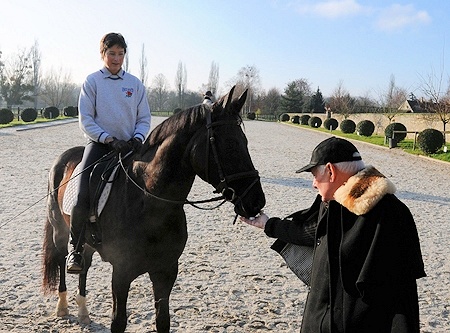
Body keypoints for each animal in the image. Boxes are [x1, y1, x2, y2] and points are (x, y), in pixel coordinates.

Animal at [41, 86, 268, 332]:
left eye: (244, 142)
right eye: (229, 144)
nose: (256, 201)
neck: (149, 203)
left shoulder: (166, 271)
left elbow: (163, 320)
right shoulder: (121, 272)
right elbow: (118, 321)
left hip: (87, 242)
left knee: (84, 265)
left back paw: (83, 311)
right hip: (60, 231)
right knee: (63, 259)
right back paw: (63, 307)